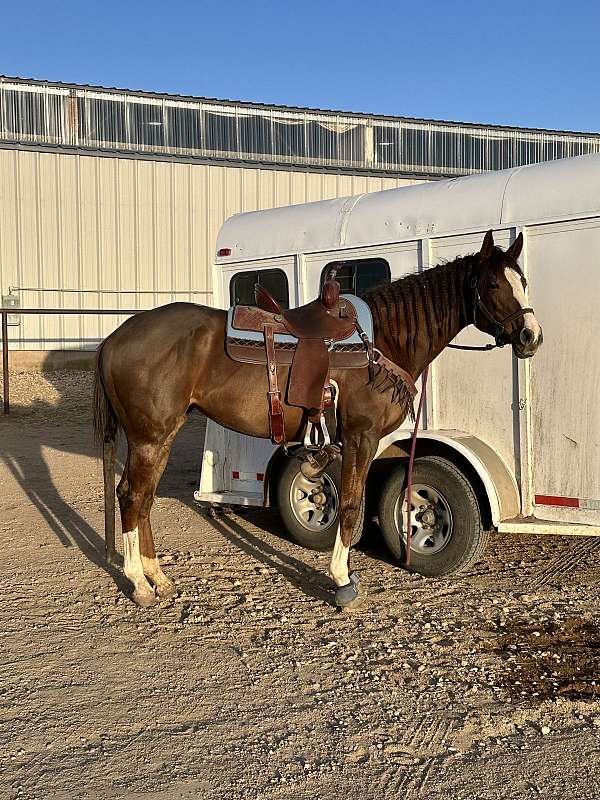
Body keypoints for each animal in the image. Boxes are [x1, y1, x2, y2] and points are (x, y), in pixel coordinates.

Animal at [93, 230, 543, 609]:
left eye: (522, 280)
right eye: (493, 285)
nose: (531, 336)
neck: (382, 342)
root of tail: (114, 338)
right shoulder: (361, 437)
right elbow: (350, 505)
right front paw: (342, 580)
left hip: (163, 434)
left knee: (143, 498)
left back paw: (159, 578)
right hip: (149, 437)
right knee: (132, 497)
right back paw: (139, 584)